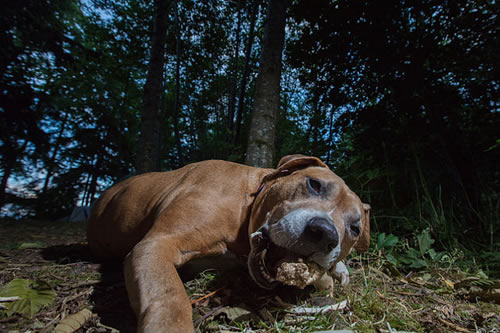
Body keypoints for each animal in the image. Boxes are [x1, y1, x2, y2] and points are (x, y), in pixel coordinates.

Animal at [88, 154, 370, 330]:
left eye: (355, 228)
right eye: (314, 184)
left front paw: (337, 271)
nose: (325, 233)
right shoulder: (158, 245)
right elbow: (170, 298)